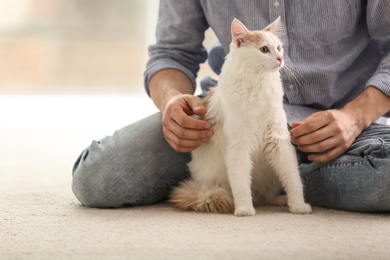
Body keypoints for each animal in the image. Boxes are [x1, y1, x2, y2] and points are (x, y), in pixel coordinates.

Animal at [169, 18, 312, 216]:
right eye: (264, 49)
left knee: (266, 196)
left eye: (279, 48)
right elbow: (241, 184)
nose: (280, 58)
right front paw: (244, 209)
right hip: (217, 182)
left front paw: (298, 206)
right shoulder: (239, 147)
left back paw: (281, 200)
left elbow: (293, 180)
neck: (258, 84)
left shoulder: (279, 142)